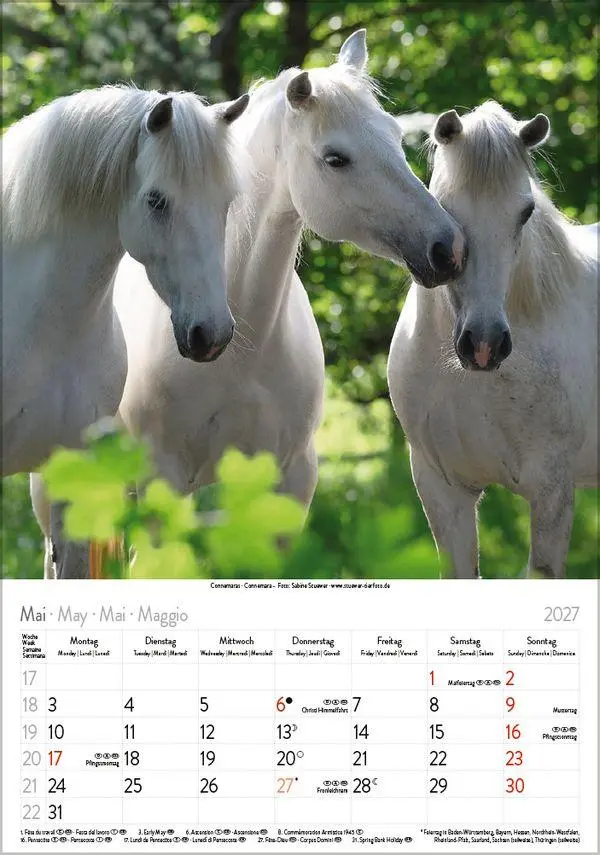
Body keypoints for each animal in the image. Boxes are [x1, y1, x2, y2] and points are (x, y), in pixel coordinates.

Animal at [36, 29, 467, 578]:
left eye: (394, 137)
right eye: (336, 158)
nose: (447, 248)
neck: (239, 348)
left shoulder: (288, 484)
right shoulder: (163, 483)